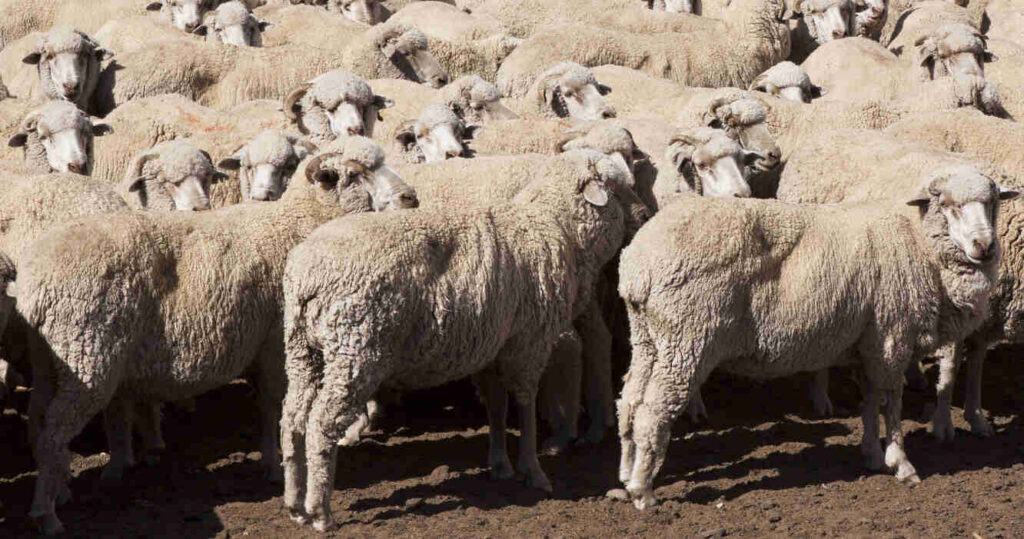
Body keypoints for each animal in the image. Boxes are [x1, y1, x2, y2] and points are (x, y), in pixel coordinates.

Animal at [17, 136, 419, 535]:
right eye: (356, 173)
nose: (410, 198)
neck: (300, 221)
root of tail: (34, 282)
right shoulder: (274, 346)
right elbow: (272, 408)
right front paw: (273, 466)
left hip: (53, 362)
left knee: (39, 423)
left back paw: (60, 491)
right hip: (88, 357)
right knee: (54, 433)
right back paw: (46, 514)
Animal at [279, 148, 645, 531]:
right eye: (619, 186)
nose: (645, 215)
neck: (552, 223)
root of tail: (307, 274)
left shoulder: (491, 346)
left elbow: (497, 405)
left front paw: (500, 464)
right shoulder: (529, 342)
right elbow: (525, 404)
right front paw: (533, 469)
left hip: (304, 351)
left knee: (292, 419)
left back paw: (294, 503)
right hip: (355, 352)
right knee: (321, 425)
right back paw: (321, 512)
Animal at [614, 165, 1017, 509]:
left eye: (993, 202)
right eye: (948, 206)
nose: (984, 246)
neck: (918, 242)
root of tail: (638, 264)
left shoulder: (867, 341)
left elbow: (870, 400)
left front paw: (871, 454)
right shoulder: (892, 337)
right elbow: (892, 401)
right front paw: (900, 463)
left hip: (649, 339)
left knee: (630, 402)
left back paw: (626, 475)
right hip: (687, 338)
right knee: (653, 411)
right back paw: (644, 492)